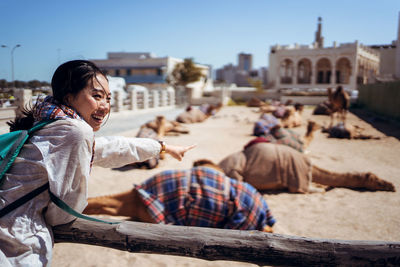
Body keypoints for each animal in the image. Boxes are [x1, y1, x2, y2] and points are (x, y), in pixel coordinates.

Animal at [214, 143, 396, 194]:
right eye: (376, 180)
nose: (392, 186)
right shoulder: (298, 178)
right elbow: (307, 190)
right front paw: (322, 190)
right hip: (234, 169)